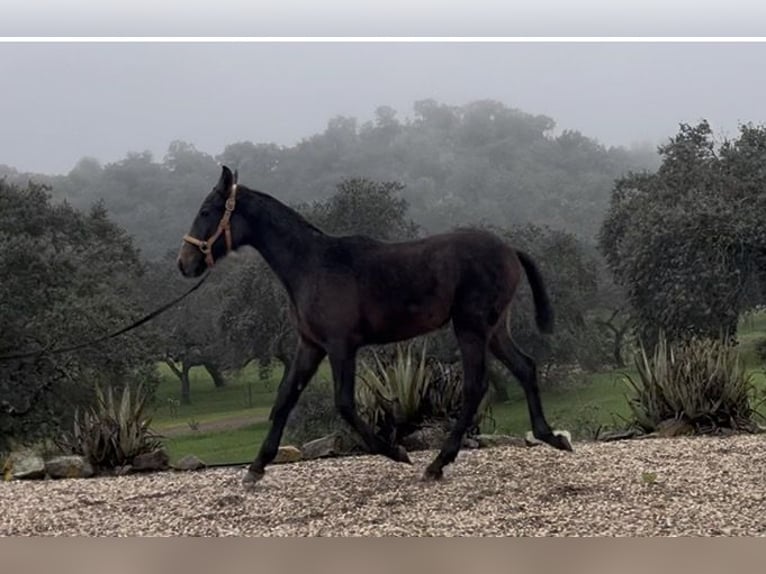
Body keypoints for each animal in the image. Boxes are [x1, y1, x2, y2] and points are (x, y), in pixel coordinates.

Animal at [177, 165, 572, 485]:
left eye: (207, 211)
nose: (185, 263)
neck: (313, 265)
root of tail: (509, 250)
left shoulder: (340, 346)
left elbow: (344, 404)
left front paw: (396, 452)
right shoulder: (310, 346)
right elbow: (285, 398)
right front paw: (256, 467)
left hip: (471, 327)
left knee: (476, 386)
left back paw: (438, 463)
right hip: (494, 329)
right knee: (525, 367)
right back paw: (551, 437)